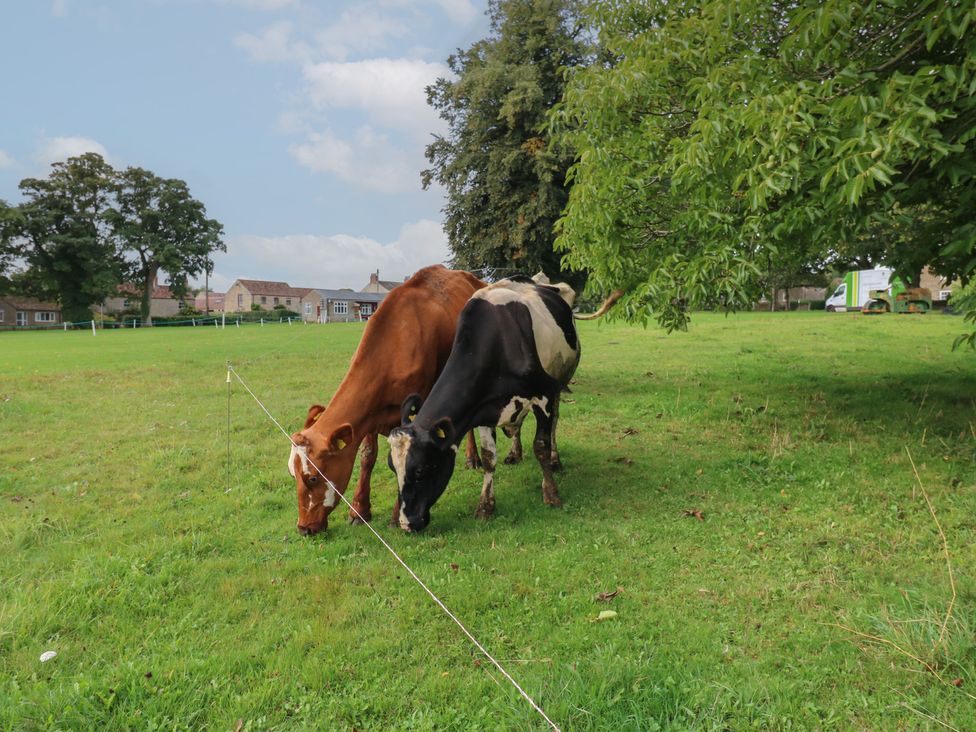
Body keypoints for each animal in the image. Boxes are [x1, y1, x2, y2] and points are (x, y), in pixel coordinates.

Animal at [287, 265, 487, 536]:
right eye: (293, 475)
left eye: (312, 478)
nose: (304, 527)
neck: (396, 341)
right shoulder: (369, 414)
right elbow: (367, 456)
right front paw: (359, 510)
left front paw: (396, 516)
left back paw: (472, 457)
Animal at [387, 275, 584, 532]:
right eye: (392, 467)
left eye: (421, 470)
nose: (406, 523)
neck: (498, 340)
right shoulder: (482, 407)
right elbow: (489, 457)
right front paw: (485, 506)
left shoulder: (545, 393)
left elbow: (541, 445)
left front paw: (551, 494)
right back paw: (514, 454)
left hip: (559, 384)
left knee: (553, 425)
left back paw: (555, 459)